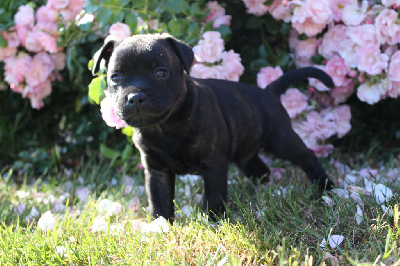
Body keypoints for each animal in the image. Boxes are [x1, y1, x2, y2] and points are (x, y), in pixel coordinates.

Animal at [93, 33, 334, 220]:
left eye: (161, 72)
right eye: (115, 78)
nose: (135, 97)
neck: (165, 125)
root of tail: (269, 91)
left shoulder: (214, 164)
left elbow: (214, 196)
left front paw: (213, 221)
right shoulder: (156, 170)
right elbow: (159, 200)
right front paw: (160, 226)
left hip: (281, 140)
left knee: (306, 156)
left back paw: (325, 187)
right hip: (246, 153)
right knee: (260, 169)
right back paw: (262, 193)